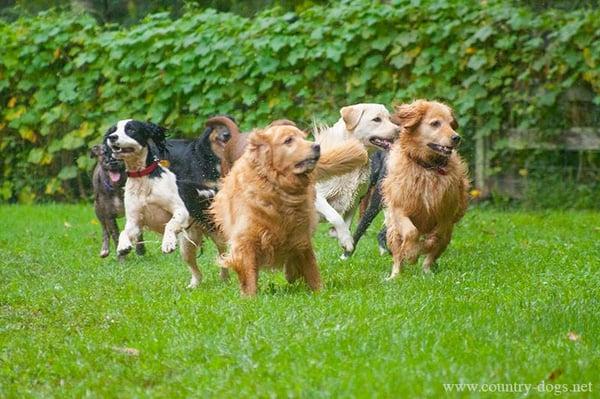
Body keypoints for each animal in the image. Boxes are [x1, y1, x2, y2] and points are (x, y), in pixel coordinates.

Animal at [213, 125, 368, 296]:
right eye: (288, 140)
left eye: (303, 137)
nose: (316, 146)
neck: (277, 188)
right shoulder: (245, 239)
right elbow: (249, 272)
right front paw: (250, 297)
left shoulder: (300, 235)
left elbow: (311, 267)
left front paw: (319, 291)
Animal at [314, 103, 398, 256]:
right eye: (376, 119)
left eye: (389, 118)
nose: (399, 130)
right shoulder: (317, 195)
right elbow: (336, 217)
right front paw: (346, 241)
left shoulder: (355, 199)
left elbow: (346, 222)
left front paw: (341, 237)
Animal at [384, 100, 468, 280]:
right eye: (435, 123)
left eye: (451, 124)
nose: (456, 137)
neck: (428, 167)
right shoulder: (399, 209)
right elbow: (411, 233)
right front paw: (410, 253)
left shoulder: (445, 216)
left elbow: (433, 241)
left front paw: (415, 251)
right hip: (393, 231)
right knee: (397, 254)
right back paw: (395, 275)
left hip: (448, 231)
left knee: (433, 252)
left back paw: (427, 271)